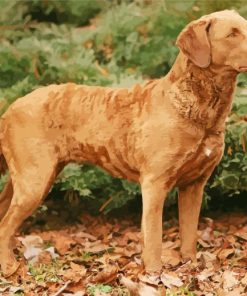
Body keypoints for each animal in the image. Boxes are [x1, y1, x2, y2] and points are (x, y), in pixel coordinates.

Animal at [0, 9, 247, 278]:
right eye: (232, 34)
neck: (196, 109)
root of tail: (10, 109)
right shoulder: (154, 182)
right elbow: (154, 236)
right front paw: (154, 274)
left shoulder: (194, 185)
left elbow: (189, 233)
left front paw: (189, 266)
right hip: (34, 181)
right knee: (5, 226)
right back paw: (10, 267)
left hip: (28, 179)